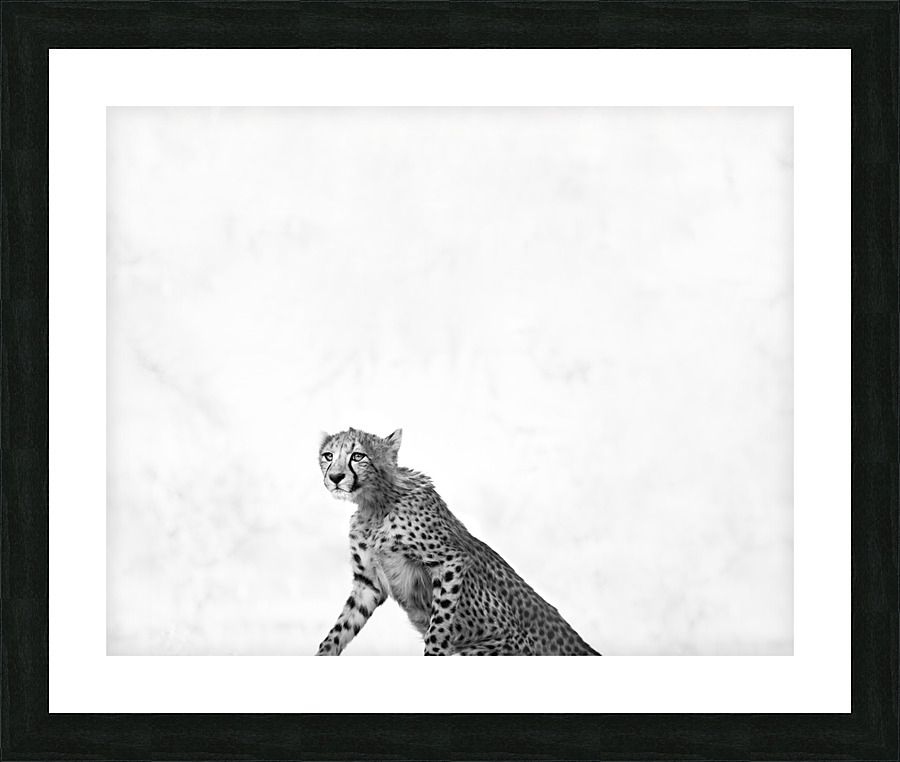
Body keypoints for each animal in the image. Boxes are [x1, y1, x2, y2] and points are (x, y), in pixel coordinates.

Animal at [314, 427, 600, 656]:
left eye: (358, 456)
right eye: (328, 456)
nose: (336, 477)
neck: (374, 504)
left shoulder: (450, 562)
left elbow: (438, 627)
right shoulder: (368, 584)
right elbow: (339, 630)